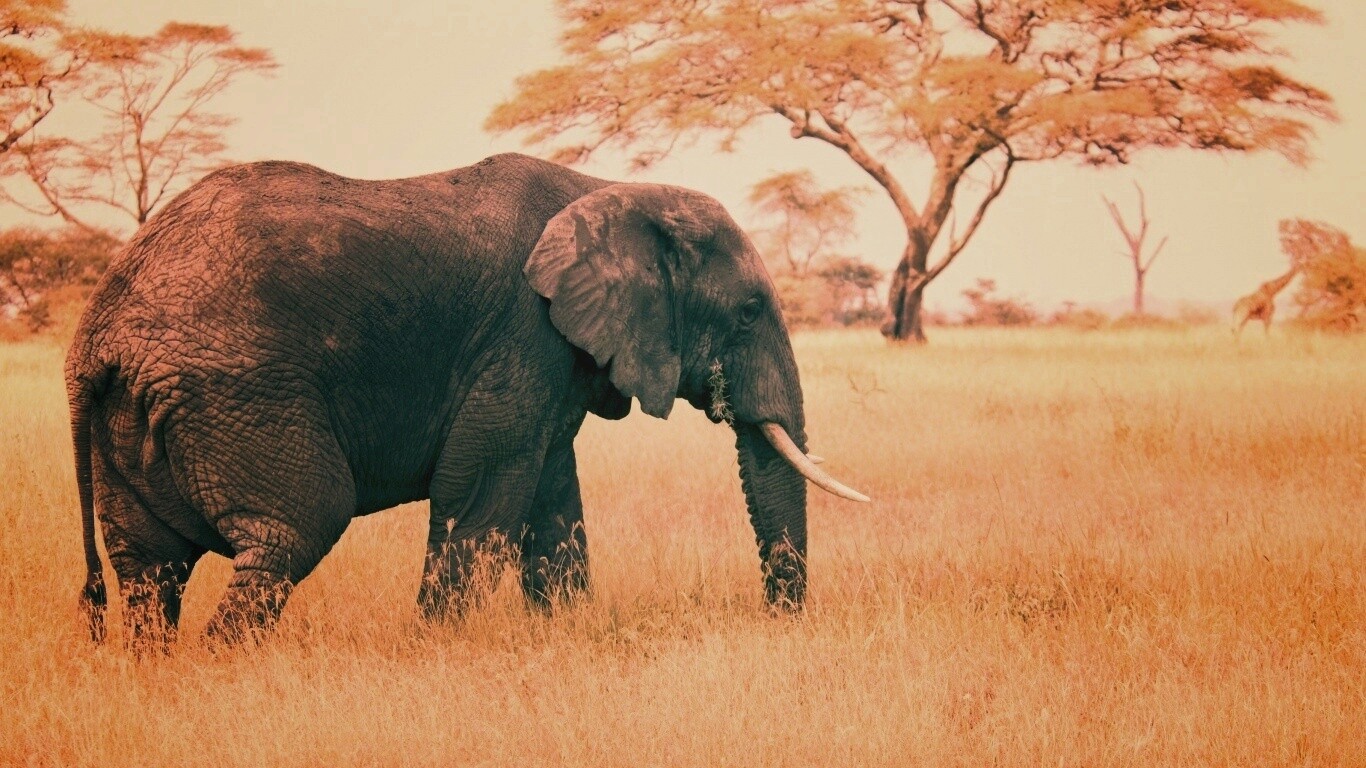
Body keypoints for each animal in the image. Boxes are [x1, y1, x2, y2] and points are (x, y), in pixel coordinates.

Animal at [66, 152, 867, 648]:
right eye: (749, 312)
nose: (780, 623)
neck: (608, 187)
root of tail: (97, 332)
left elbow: (552, 500)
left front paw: (564, 635)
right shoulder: (522, 334)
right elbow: (481, 491)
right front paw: (434, 648)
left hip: (139, 414)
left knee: (149, 570)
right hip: (238, 391)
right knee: (292, 530)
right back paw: (224, 669)